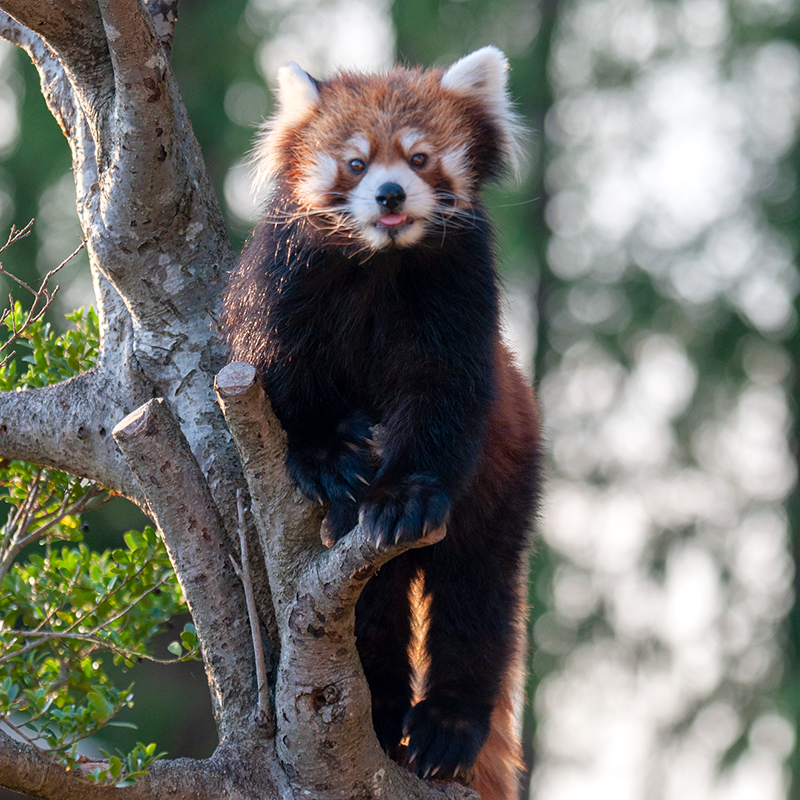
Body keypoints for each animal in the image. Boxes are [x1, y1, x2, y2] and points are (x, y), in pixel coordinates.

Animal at [222, 48, 540, 800]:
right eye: (356, 163)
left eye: (420, 159)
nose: (391, 195)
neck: (381, 261)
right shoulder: (288, 282)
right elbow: (285, 380)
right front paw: (326, 456)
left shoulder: (458, 291)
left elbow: (442, 396)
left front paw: (402, 497)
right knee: (373, 607)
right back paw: (382, 706)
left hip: (507, 480)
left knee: (478, 593)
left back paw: (445, 728)